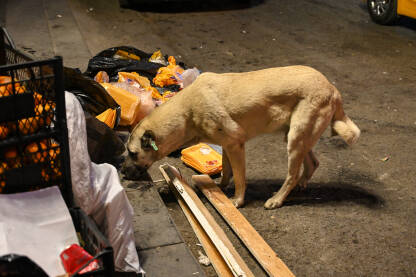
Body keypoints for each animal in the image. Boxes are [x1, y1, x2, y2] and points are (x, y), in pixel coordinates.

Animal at [125, 65, 360, 207]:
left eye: (132, 153)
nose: (122, 171)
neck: (185, 113)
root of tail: (332, 88)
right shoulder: (227, 146)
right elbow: (226, 170)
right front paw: (219, 188)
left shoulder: (236, 144)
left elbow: (239, 178)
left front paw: (237, 200)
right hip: (298, 137)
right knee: (313, 163)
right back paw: (302, 185)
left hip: (296, 139)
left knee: (291, 175)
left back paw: (277, 199)